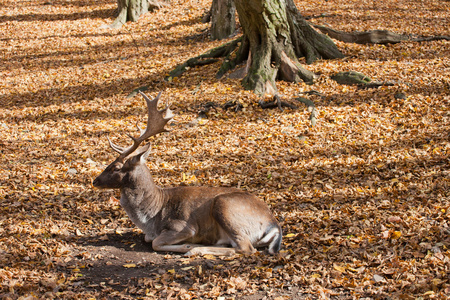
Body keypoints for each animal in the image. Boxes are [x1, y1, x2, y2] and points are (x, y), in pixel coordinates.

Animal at [92, 91, 284, 255]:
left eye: (116, 167)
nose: (95, 181)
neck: (151, 217)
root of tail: (273, 224)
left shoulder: (184, 226)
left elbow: (155, 242)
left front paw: (188, 245)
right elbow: (149, 239)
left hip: (225, 206)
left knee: (245, 247)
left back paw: (196, 249)